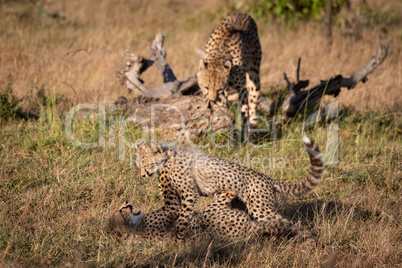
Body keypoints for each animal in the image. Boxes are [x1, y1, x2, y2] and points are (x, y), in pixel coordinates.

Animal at [134, 136, 324, 241]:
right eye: (139, 164)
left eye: (145, 162)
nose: (143, 175)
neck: (168, 157)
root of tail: (267, 178)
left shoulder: (188, 195)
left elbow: (181, 219)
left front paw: (178, 239)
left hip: (260, 209)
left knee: (289, 222)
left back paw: (307, 240)